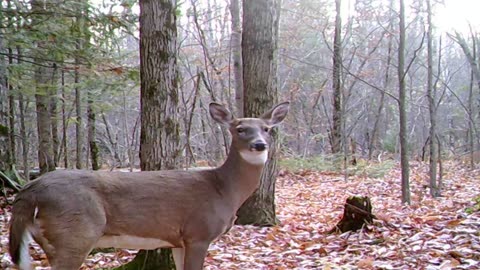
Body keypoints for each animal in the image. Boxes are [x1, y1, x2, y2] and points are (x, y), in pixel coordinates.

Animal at [9, 100, 290, 268]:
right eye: (240, 129)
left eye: (266, 129)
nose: (259, 145)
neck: (224, 189)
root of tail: (29, 190)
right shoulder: (199, 231)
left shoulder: (179, 240)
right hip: (74, 233)